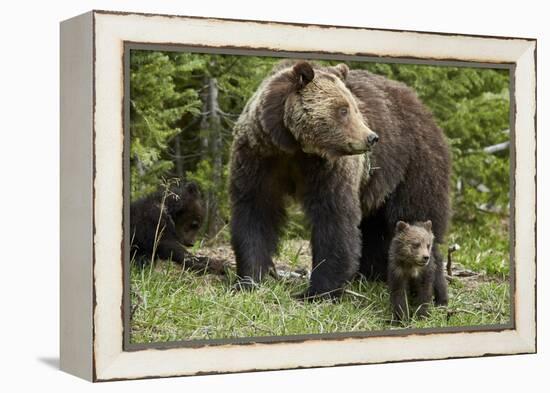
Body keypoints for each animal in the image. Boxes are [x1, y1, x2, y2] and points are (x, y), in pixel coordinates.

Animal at [231, 59, 450, 300]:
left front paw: (317, 291)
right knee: (376, 227)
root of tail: (424, 108)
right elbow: (255, 211)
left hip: (413, 165)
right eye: (343, 109)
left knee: (415, 215)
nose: (371, 137)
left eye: (355, 108)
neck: (294, 146)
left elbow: (334, 219)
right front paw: (249, 279)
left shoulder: (329, 169)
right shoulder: (259, 157)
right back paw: (372, 274)